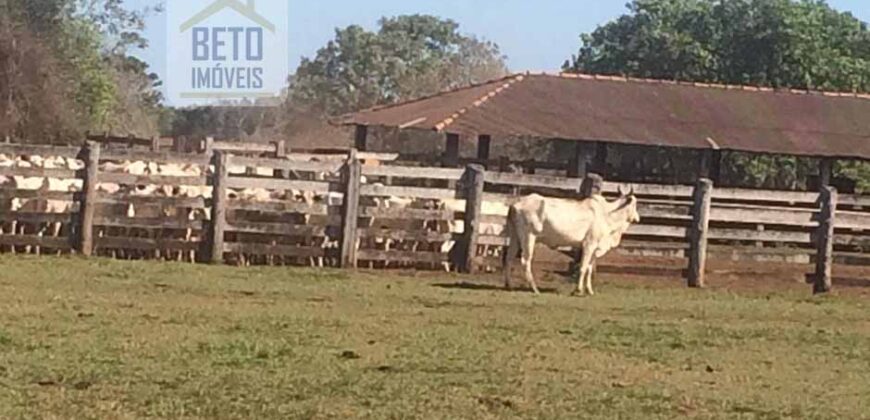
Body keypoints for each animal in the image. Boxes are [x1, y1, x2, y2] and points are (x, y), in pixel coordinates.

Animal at [504, 190, 640, 296]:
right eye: (635, 203)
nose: (638, 218)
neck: (607, 214)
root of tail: (516, 204)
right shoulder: (589, 245)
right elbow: (583, 267)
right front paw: (578, 290)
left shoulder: (594, 248)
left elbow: (589, 268)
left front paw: (589, 291)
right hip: (529, 237)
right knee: (525, 261)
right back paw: (534, 288)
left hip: (515, 237)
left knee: (509, 258)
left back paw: (509, 285)